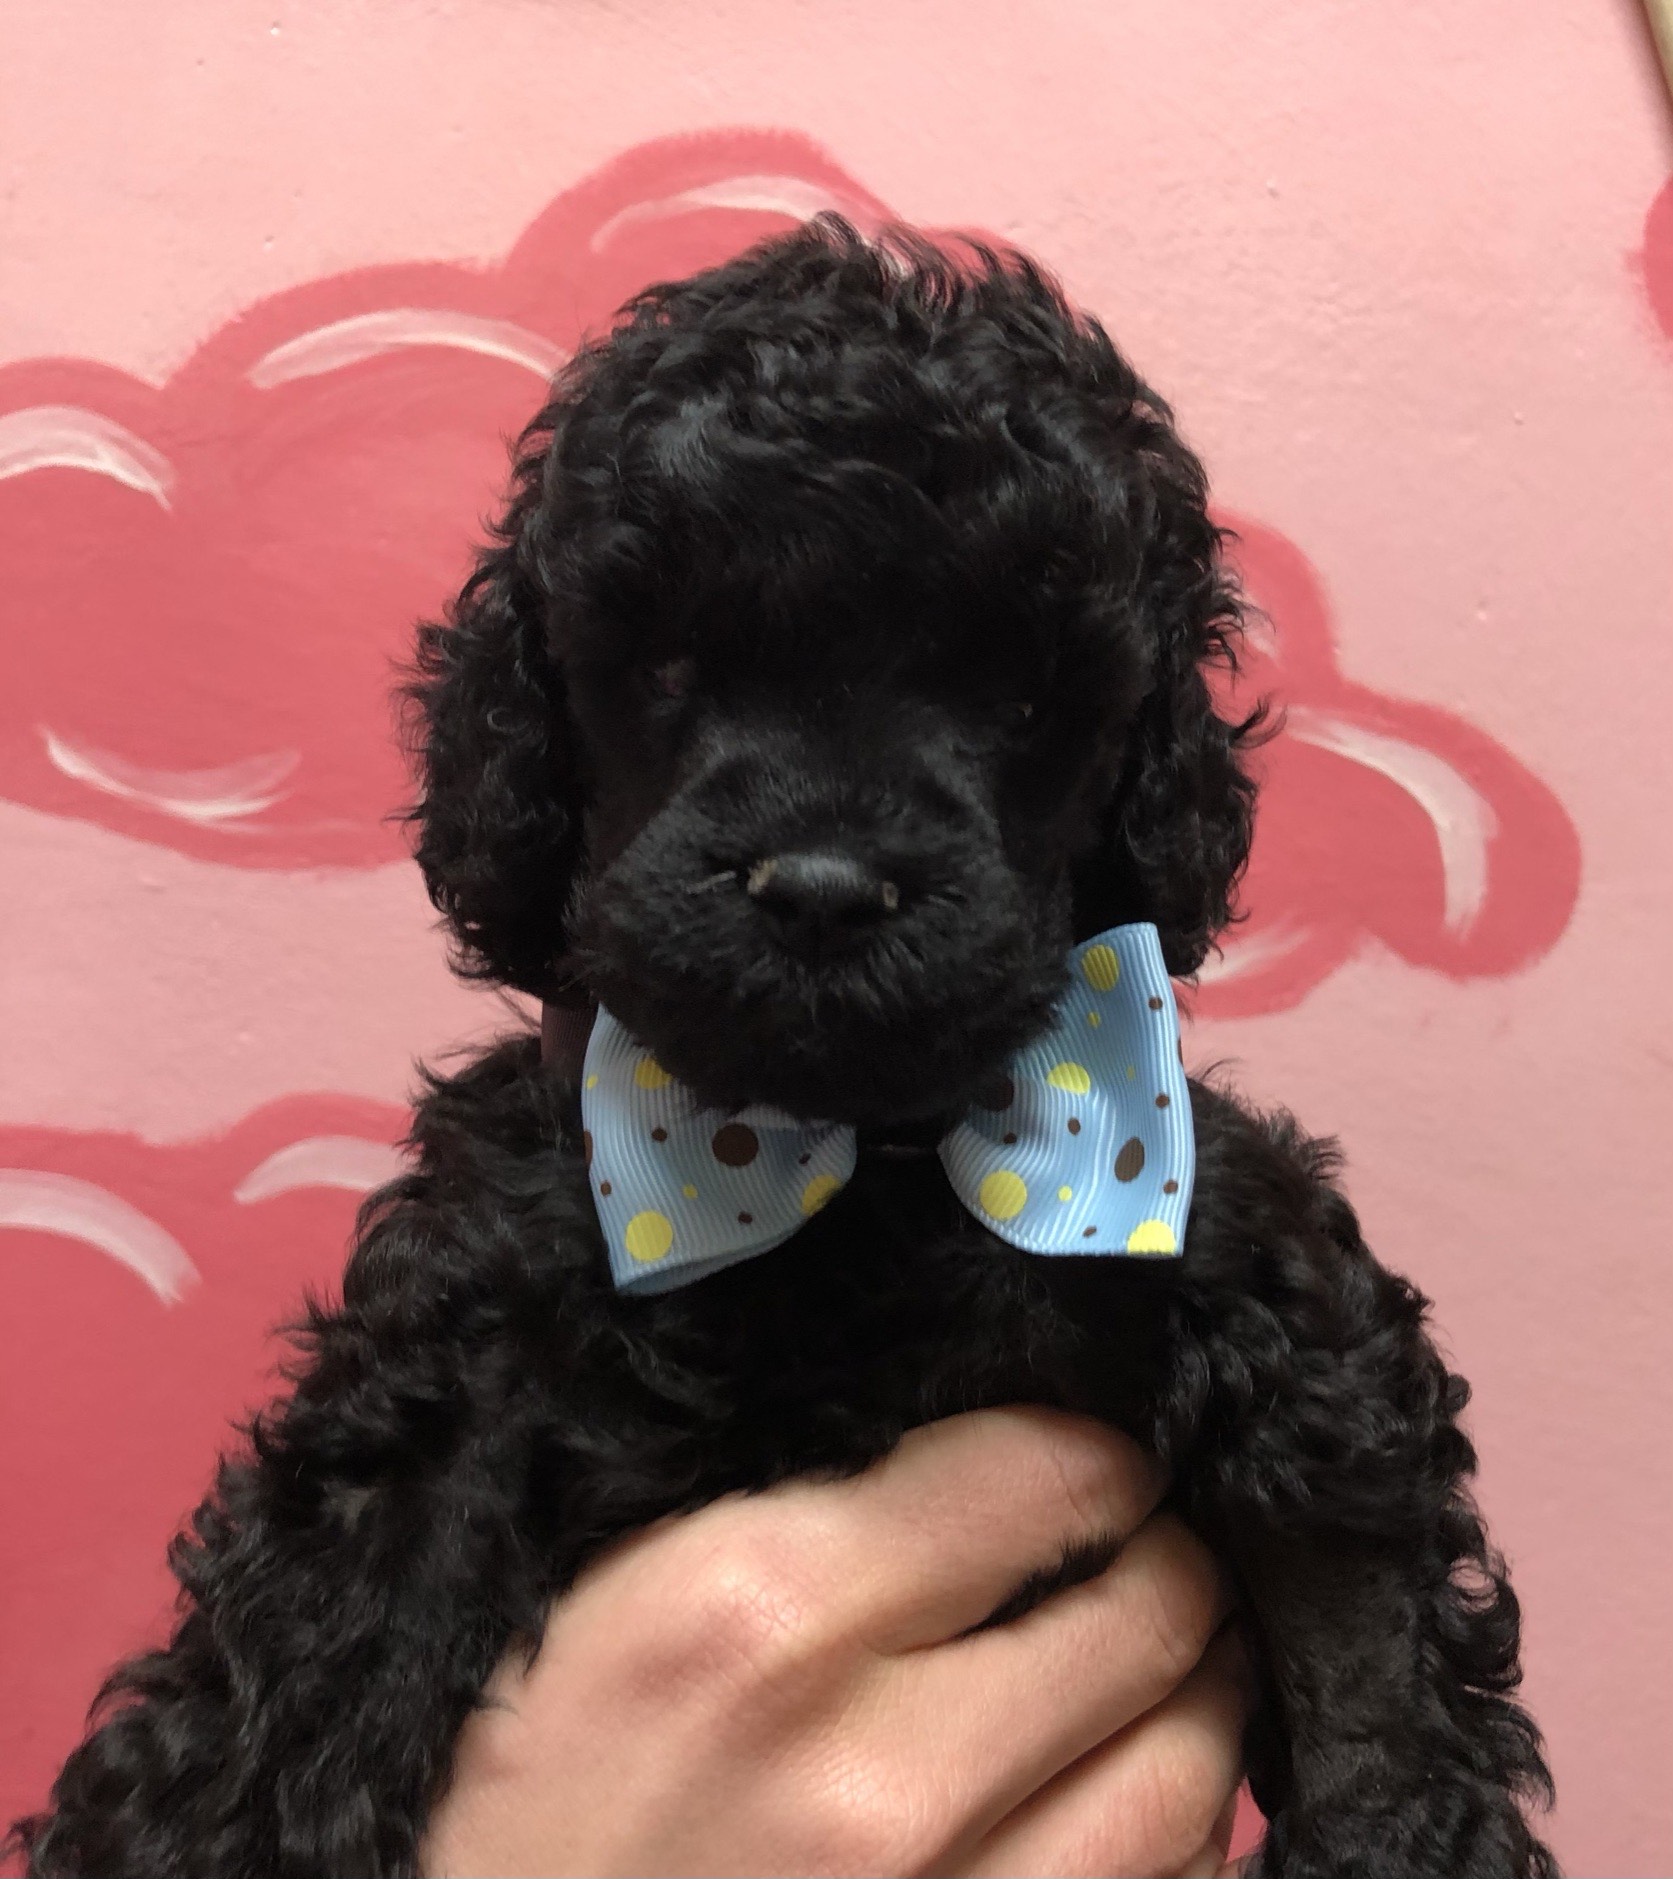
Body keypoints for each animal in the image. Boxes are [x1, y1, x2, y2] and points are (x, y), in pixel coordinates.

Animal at [15, 217, 1555, 1877]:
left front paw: (1401, 1822)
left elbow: (1349, 1565)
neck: (841, 1158)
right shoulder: (478, 1317)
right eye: (668, 668)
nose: (820, 884)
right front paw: (204, 1823)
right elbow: (324, 1594)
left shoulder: (1230, 1239)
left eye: (1024, 698)